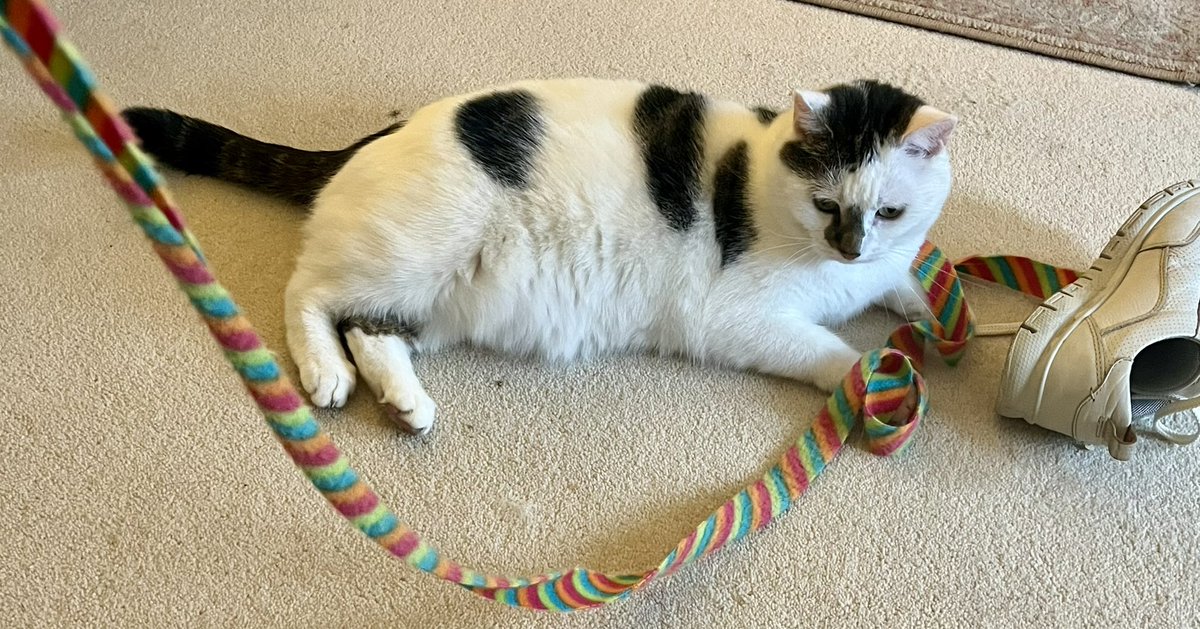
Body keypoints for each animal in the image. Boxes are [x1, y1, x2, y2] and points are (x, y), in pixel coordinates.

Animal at [124, 77, 955, 432]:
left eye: (889, 211)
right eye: (827, 206)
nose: (851, 247)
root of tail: (373, 139)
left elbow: (904, 285)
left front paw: (929, 316)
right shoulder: (737, 316)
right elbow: (824, 347)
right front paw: (869, 371)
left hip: (440, 296)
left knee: (370, 326)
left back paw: (404, 403)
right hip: (412, 251)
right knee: (308, 292)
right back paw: (325, 372)